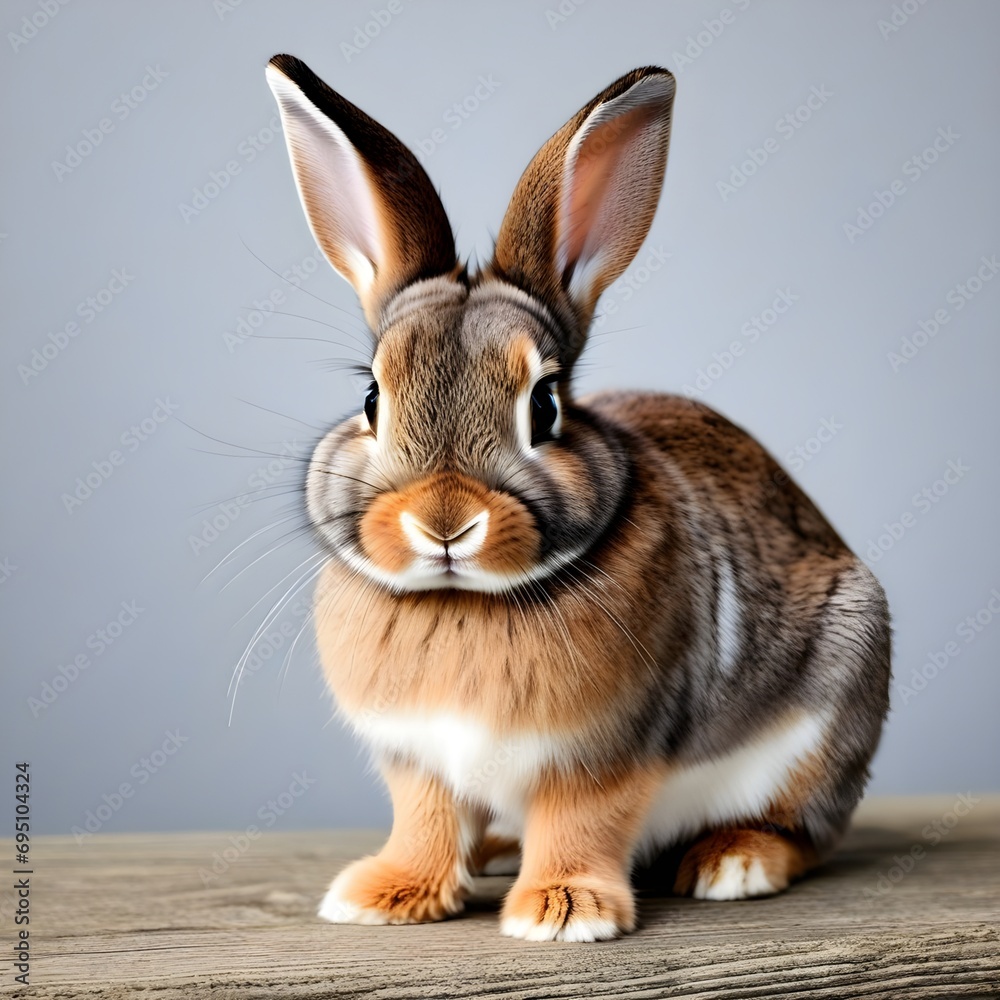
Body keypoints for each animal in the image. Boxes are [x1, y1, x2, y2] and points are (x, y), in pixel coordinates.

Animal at [265, 54, 891, 942]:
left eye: (546, 406)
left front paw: (563, 912)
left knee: (805, 831)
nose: (444, 523)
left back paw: (732, 863)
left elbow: (580, 820)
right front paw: (384, 896)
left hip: (830, 706)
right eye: (372, 399)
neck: (467, 601)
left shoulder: (605, 752)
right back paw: (494, 851)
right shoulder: (418, 760)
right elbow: (424, 820)